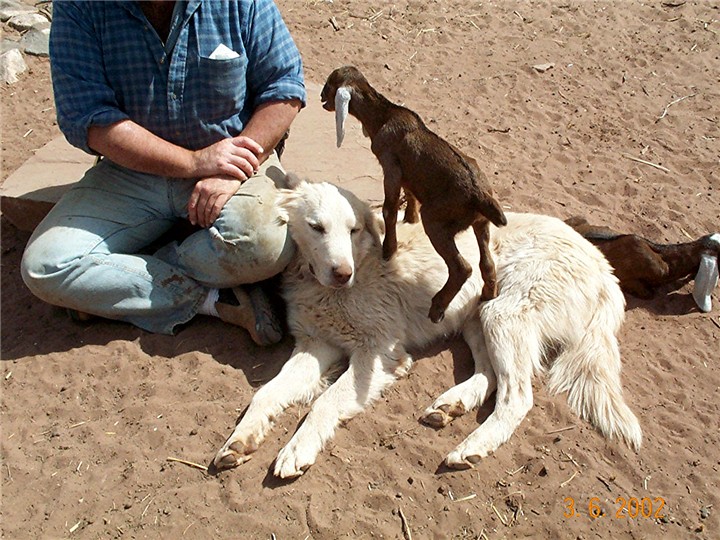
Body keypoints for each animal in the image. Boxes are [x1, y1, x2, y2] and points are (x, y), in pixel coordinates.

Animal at [211, 177, 640, 476]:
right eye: (316, 227)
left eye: (353, 230)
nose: (342, 273)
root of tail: (602, 264)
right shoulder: (317, 345)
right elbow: (266, 393)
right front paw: (240, 440)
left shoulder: (378, 353)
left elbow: (325, 402)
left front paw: (298, 449)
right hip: (478, 317)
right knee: (490, 375)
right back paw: (452, 404)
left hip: (504, 313)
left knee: (517, 396)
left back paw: (472, 446)